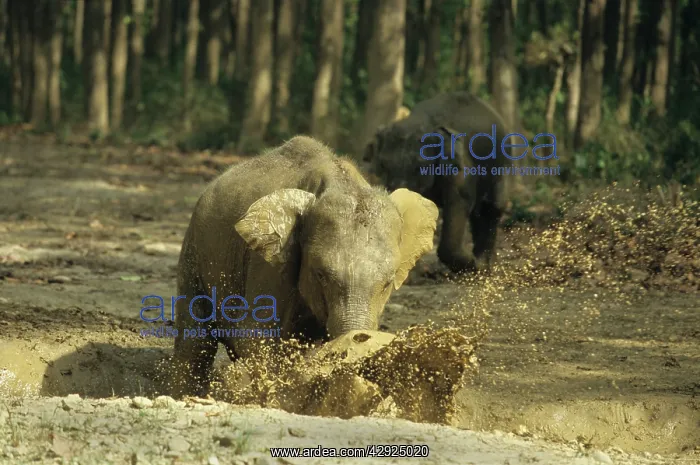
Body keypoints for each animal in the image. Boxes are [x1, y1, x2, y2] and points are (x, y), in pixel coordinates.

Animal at [171, 136, 438, 398]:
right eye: (320, 274)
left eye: (388, 283)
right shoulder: (267, 264)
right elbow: (257, 335)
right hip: (194, 248)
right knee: (196, 341)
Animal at [363, 91, 511, 274]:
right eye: (384, 165)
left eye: (419, 167)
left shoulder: (461, 167)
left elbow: (460, 202)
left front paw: (471, 264)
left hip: (502, 164)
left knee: (491, 207)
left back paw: (483, 265)